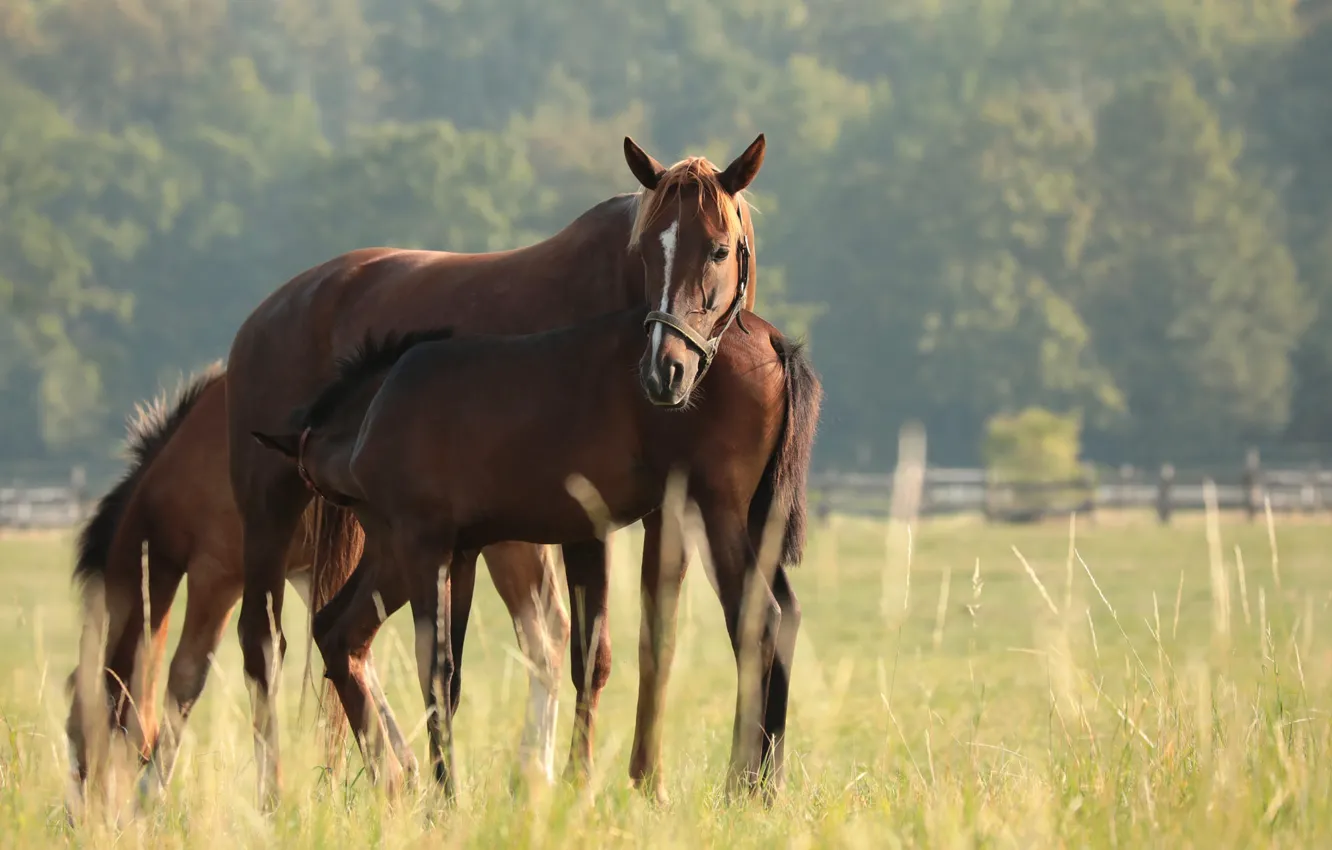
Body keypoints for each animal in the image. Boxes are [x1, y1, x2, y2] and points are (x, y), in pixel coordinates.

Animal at [252, 300, 821, 799]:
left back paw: (742, 785)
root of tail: (770, 339)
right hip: (754, 520)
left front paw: (444, 796)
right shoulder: (457, 552)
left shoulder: (419, 543)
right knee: (788, 615)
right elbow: (442, 673)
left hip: (715, 513)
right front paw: (424, 787)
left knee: (759, 622)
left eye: (323, 489)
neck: (381, 403)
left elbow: (434, 668)